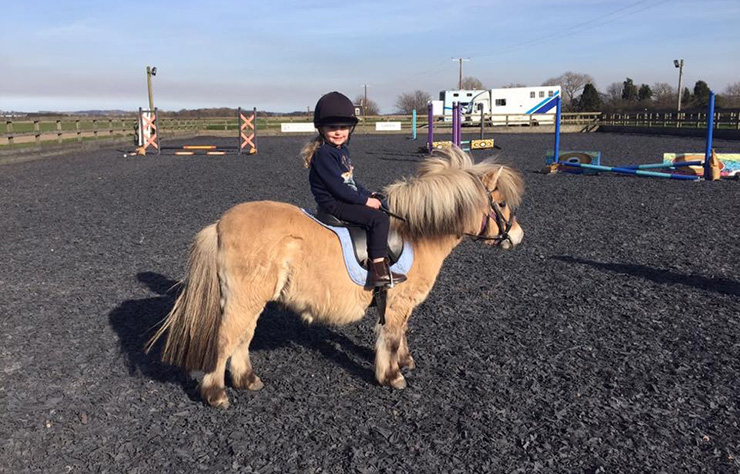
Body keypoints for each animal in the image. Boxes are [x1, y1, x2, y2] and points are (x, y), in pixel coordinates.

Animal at [147, 145, 524, 408]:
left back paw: (247, 380)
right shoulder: (398, 302)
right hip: (243, 300)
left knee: (242, 338)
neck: (417, 233)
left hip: (251, 301)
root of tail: (220, 225)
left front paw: (405, 362)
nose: (518, 237)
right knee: (226, 340)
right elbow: (390, 338)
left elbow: (401, 334)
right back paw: (216, 395)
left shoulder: (401, 306)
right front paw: (393, 376)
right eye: (502, 204)